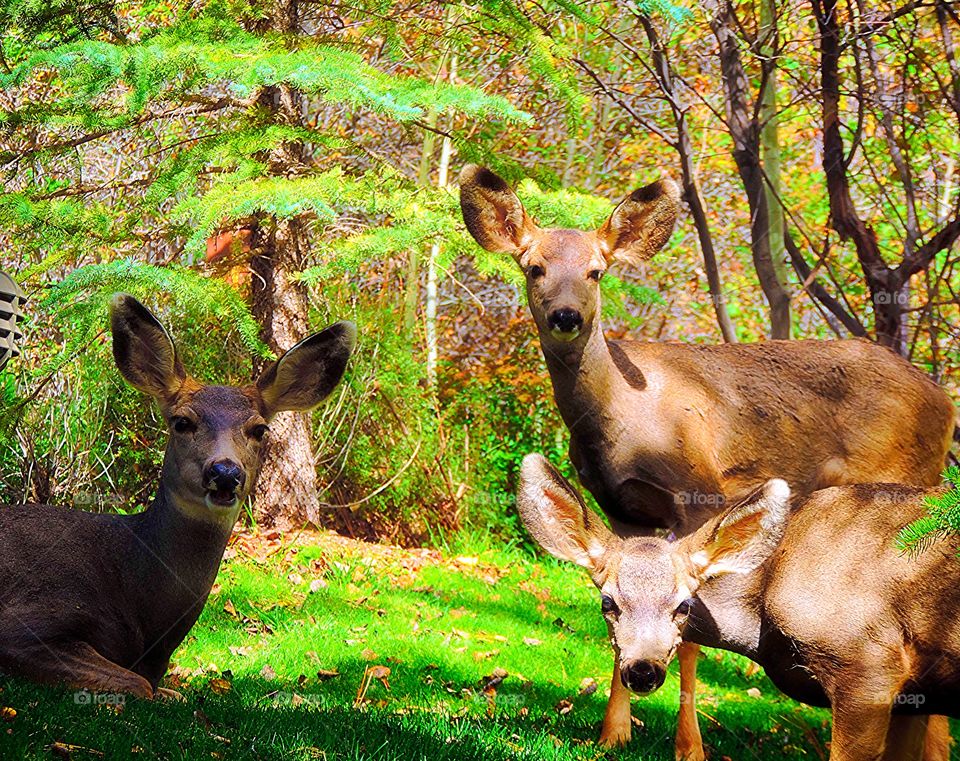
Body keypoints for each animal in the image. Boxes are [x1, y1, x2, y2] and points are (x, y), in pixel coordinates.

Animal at [0, 294, 355, 699]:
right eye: (182, 422)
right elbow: (140, 685)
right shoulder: (29, 618)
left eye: (259, 429)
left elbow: (167, 691)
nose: (225, 473)